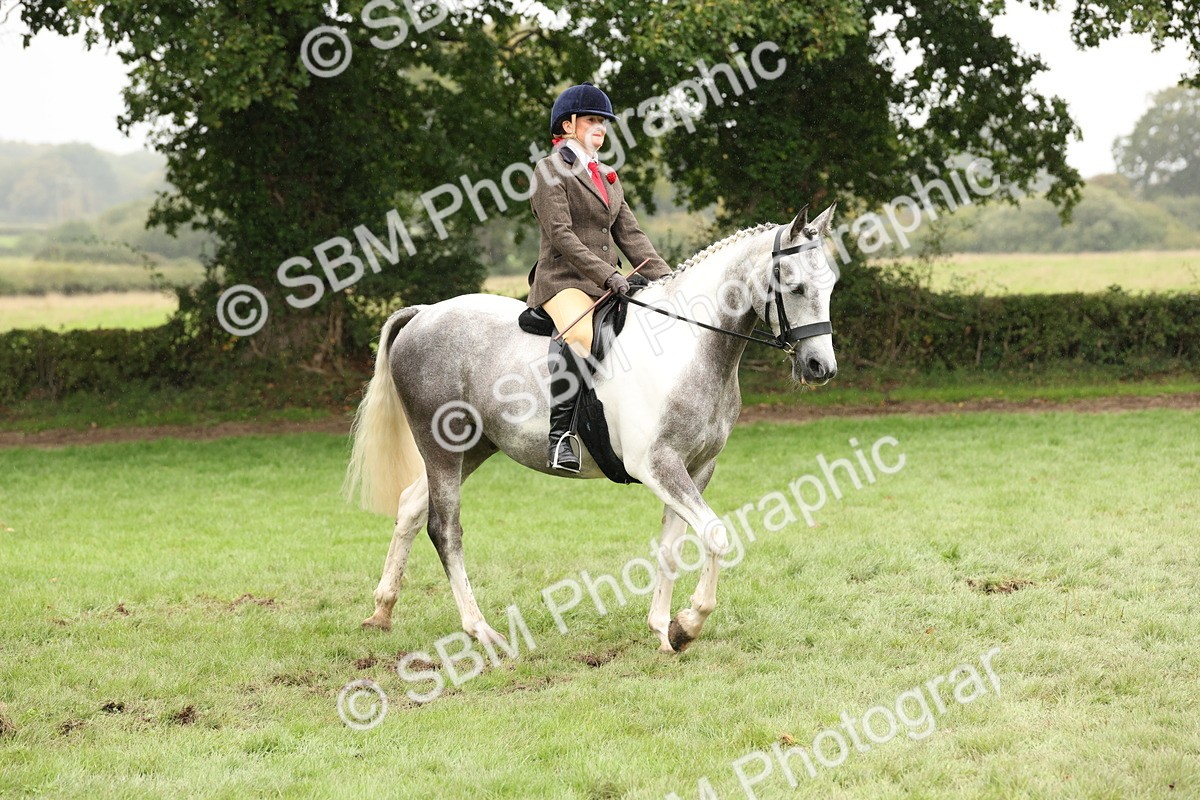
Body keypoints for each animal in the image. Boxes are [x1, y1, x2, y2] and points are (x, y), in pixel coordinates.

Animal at [344, 203, 840, 653]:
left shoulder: (697, 468)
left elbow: (673, 544)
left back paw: (382, 612)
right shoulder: (656, 465)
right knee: (445, 528)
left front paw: (663, 630)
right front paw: (687, 625)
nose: (821, 368)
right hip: (441, 447)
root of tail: (424, 314)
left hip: (475, 446)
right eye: (794, 287)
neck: (689, 346)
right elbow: (715, 534)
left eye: (831, 284)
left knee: (411, 506)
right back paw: (482, 633)